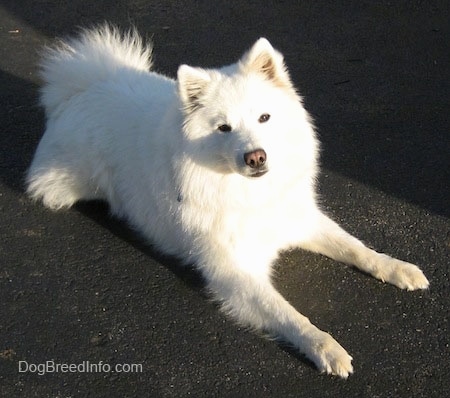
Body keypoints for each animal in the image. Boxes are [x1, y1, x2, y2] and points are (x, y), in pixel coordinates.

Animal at [25, 26, 428, 378]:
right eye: (224, 128)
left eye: (264, 117)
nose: (255, 157)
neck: (248, 192)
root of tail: (87, 85)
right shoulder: (234, 272)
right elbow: (288, 314)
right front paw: (325, 347)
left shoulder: (300, 219)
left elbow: (358, 249)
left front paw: (397, 268)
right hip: (65, 184)